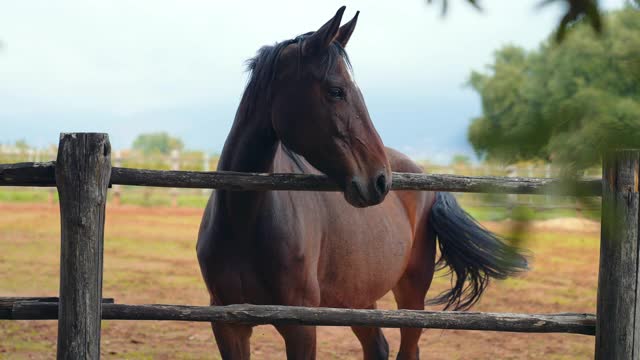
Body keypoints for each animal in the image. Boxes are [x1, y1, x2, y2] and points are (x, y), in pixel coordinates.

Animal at [198, 6, 528, 360]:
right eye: (336, 90)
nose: (380, 179)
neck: (242, 221)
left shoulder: (300, 326)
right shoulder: (228, 325)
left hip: (411, 294)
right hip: (358, 296)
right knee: (377, 346)